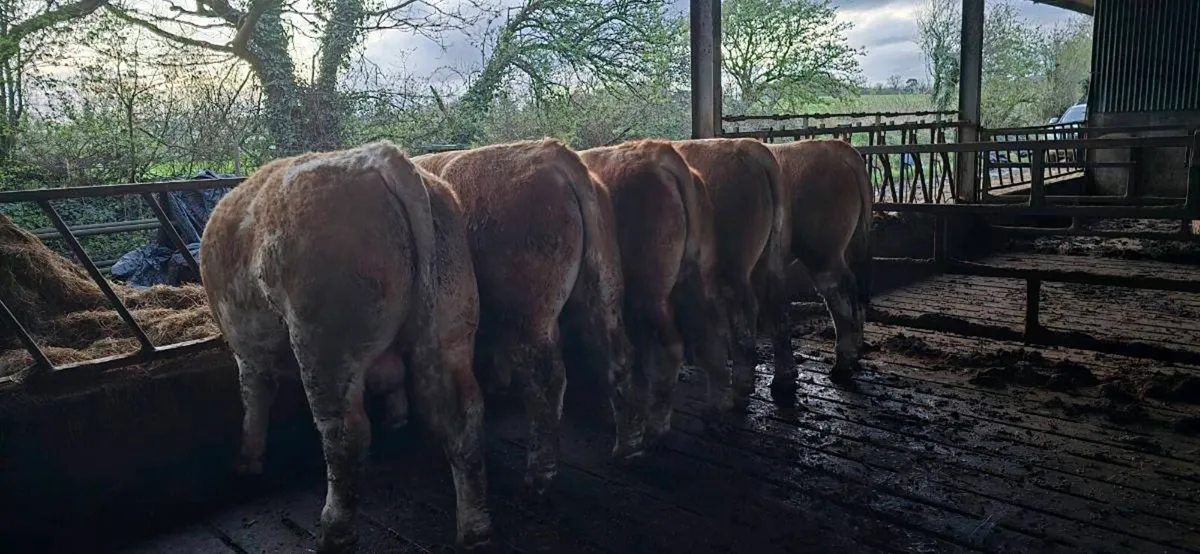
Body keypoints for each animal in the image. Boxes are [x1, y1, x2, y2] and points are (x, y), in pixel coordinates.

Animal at [199, 141, 492, 553]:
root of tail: (381, 156)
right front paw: (397, 419)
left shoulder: (247, 350)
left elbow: (254, 396)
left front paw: (247, 461)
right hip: (451, 328)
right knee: (465, 418)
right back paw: (475, 530)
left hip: (323, 345)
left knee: (344, 435)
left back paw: (334, 530)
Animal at [412, 138, 643, 494]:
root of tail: (559, 158)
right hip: (603, 288)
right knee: (618, 353)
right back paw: (628, 447)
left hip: (528, 311)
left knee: (546, 376)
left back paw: (540, 473)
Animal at [576, 140, 727, 441]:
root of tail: (660, 153)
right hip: (703, 275)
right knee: (712, 333)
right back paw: (715, 410)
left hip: (648, 291)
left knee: (668, 348)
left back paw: (656, 425)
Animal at [671, 138, 789, 409]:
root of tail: (750, 147)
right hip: (766, 259)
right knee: (773, 302)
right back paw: (783, 379)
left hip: (733, 264)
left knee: (743, 311)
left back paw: (741, 387)